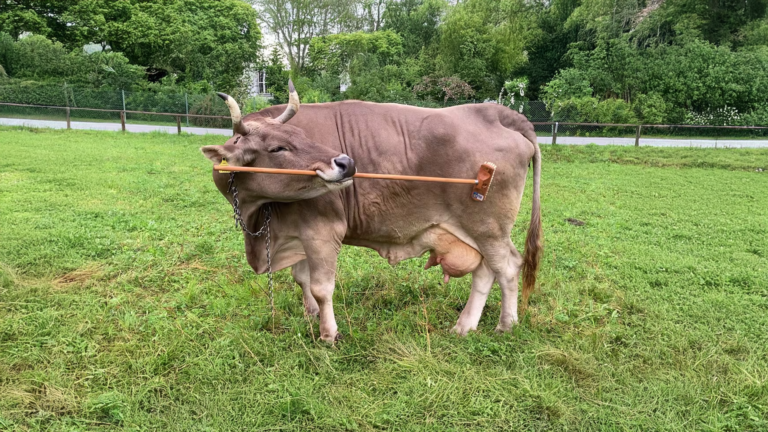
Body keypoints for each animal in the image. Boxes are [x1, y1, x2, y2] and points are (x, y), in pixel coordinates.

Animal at [201, 81, 542, 343]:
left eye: (304, 137)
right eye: (277, 148)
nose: (346, 162)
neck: (258, 218)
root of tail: (498, 113)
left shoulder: (322, 231)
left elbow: (322, 287)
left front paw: (329, 334)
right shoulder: (297, 234)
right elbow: (301, 278)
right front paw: (310, 315)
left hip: (488, 228)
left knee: (507, 268)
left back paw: (506, 324)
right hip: (478, 232)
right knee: (485, 271)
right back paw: (465, 325)